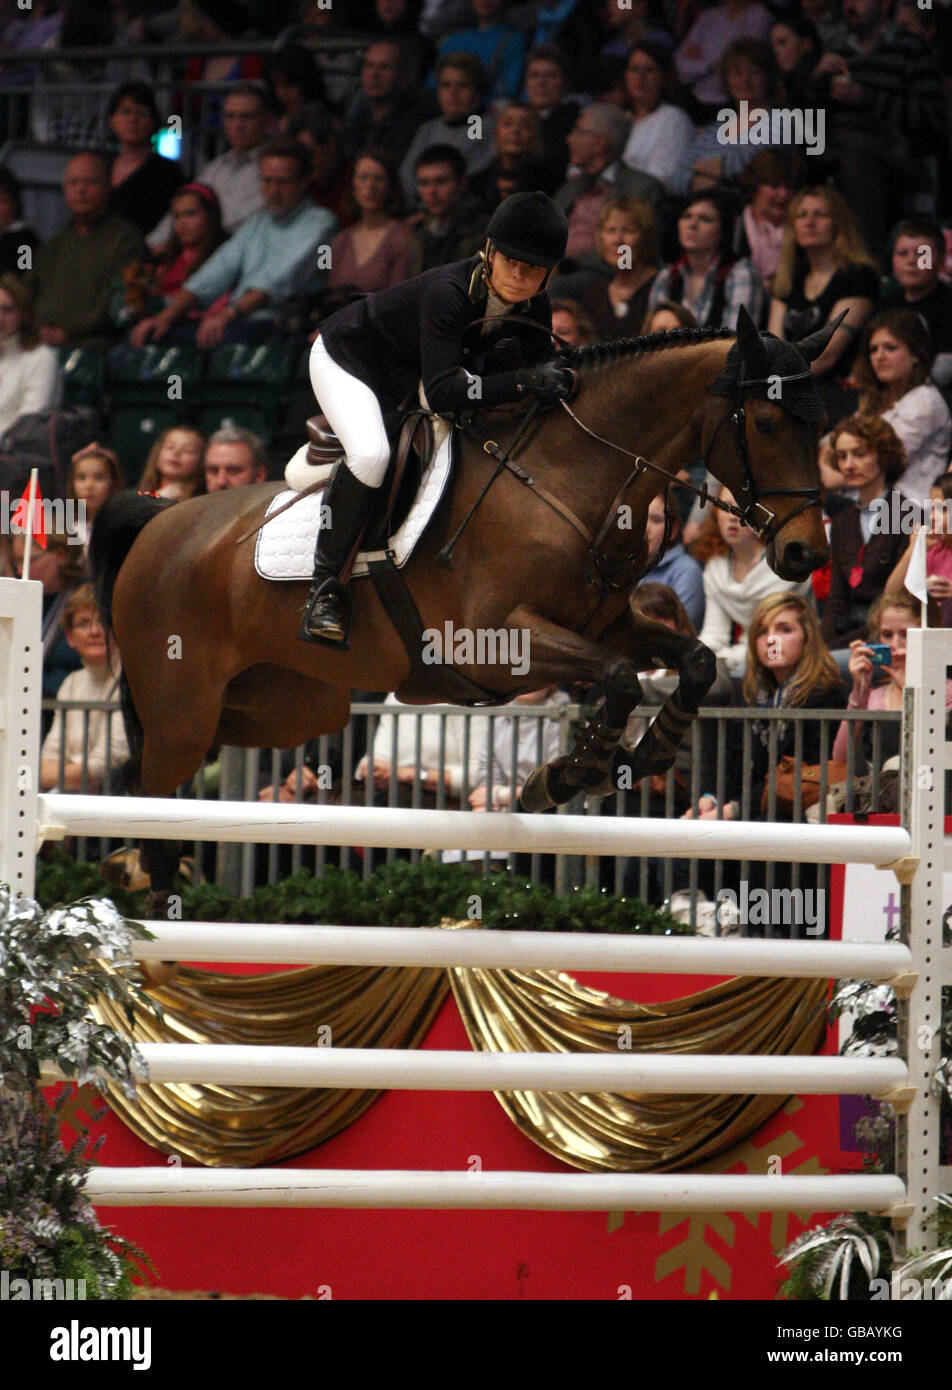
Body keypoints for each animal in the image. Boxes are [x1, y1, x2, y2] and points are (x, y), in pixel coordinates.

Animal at [88, 307, 833, 911]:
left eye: (819, 424)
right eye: (768, 422)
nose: (805, 553)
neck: (568, 478)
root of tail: (159, 521)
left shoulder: (607, 624)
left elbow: (696, 660)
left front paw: (643, 752)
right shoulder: (493, 642)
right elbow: (620, 676)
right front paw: (567, 775)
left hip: (278, 707)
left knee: (144, 777)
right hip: (185, 710)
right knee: (147, 787)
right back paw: (151, 902)